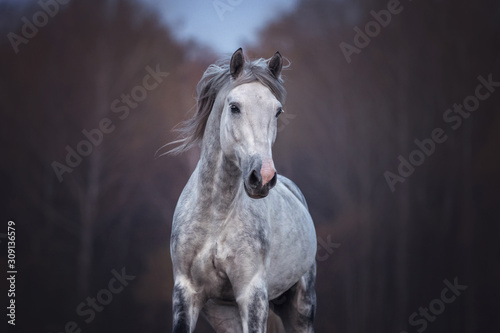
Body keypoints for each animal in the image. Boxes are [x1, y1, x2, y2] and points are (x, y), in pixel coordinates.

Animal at [168, 48, 316, 330]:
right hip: (224, 313)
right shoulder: (186, 292)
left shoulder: (252, 294)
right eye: (234, 107)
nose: (263, 177)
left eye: (277, 111)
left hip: (301, 307)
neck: (216, 215)